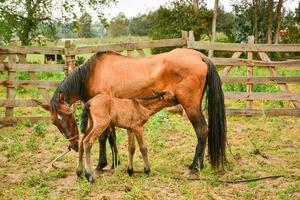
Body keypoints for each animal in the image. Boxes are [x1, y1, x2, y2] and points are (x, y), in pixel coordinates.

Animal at [38, 48, 226, 172]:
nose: (73, 145)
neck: (93, 74)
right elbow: (111, 138)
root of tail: (200, 56)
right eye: (54, 122)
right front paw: (115, 163)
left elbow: (103, 138)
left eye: (69, 114)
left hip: (190, 107)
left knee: (202, 131)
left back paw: (195, 167)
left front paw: (101, 165)